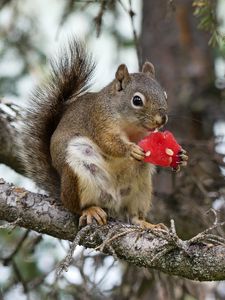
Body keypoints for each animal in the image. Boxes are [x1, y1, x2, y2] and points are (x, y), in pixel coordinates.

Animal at [20, 38, 188, 230]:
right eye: (137, 100)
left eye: (165, 95)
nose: (162, 119)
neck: (131, 127)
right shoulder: (99, 120)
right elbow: (108, 142)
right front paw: (131, 150)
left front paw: (181, 156)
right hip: (78, 175)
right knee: (75, 206)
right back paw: (90, 210)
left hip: (141, 188)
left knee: (133, 216)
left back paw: (147, 224)